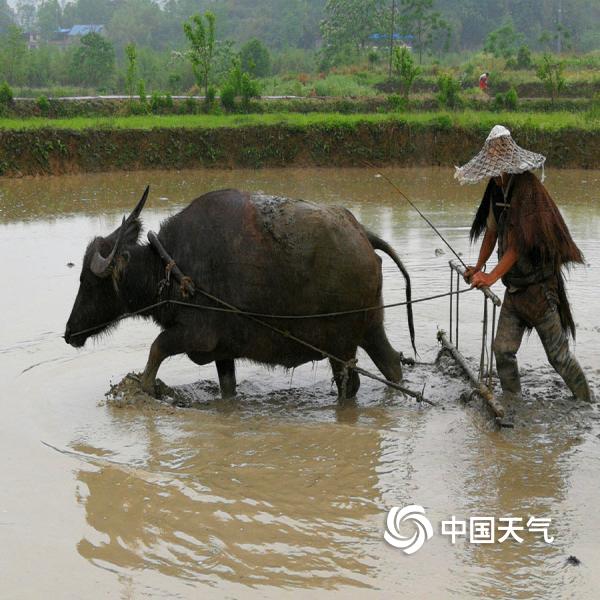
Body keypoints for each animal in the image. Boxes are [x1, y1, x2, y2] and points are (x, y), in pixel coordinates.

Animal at [64, 189, 412, 398]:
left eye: (87, 281)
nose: (69, 332)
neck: (171, 268)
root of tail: (362, 233)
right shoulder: (223, 352)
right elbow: (227, 388)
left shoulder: (197, 335)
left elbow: (156, 348)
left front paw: (145, 388)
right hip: (371, 328)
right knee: (392, 365)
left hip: (340, 347)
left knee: (350, 384)